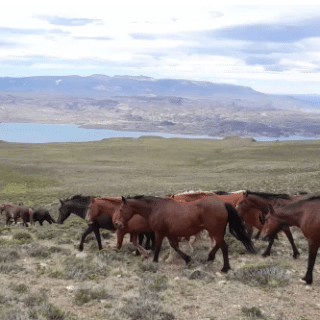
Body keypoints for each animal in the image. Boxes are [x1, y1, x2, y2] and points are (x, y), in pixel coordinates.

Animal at [112, 195, 255, 272]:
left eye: (121, 209)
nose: (117, 224)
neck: (155, 208)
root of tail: (222, 204)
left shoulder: (159, 233)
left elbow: (158, 247)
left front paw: (154, 261)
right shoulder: (169, 233)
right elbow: (174, 246)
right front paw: (187, 259)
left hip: (216, 231)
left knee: (224, 247)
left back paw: (225, 268)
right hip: (216, 231)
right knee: (218, 245)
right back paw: (210, 257)